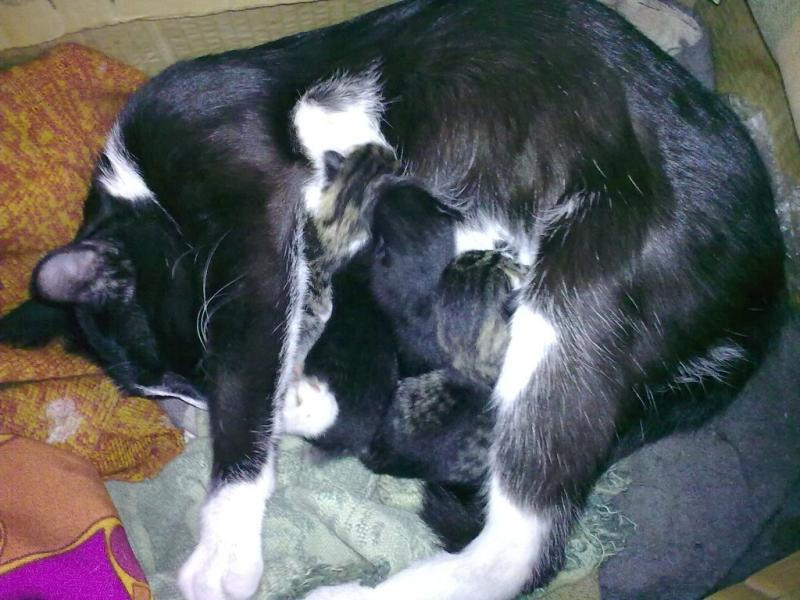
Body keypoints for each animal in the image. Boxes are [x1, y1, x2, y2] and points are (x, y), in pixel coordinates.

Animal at [0, 1, 786, 598]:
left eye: (196, 354)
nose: (190, 398)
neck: (139, 185)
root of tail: (767, 287)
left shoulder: (253, 204)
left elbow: (250, 374)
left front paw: (225, 537)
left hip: (586, 285)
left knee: (522, 548)